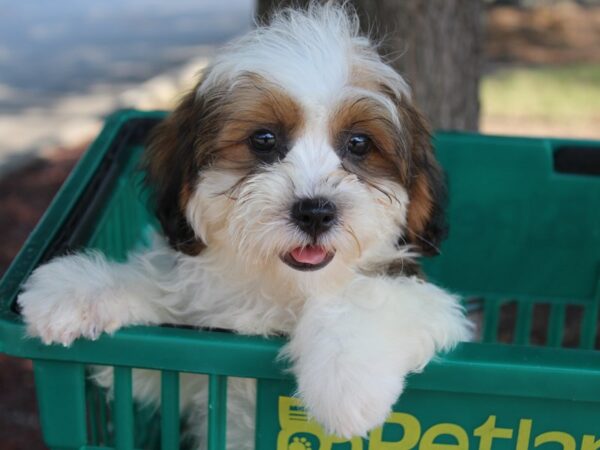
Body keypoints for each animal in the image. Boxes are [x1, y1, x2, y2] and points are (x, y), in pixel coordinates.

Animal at [18, 4, 472, 450]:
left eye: (359, 144)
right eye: (264, 139)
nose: (315, 212)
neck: (283, 288)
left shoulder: (431, 305)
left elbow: (368, 295)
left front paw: (347, 382)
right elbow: (160, 292)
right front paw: (76, 292)